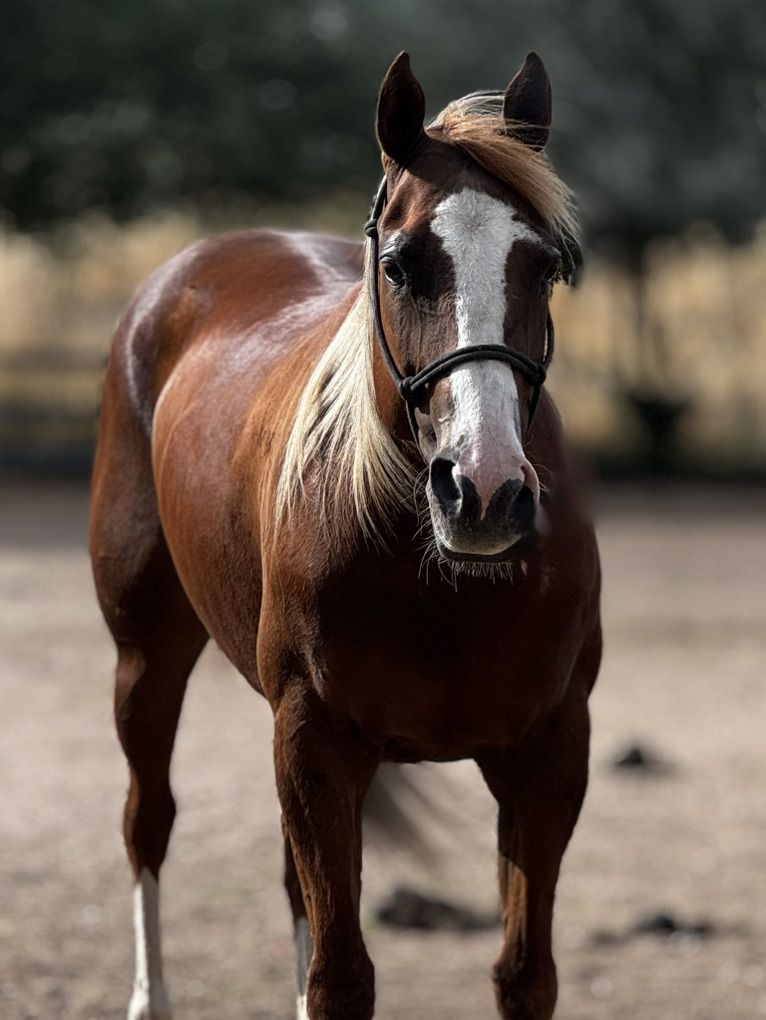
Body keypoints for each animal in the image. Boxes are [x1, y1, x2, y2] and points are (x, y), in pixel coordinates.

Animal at [90, 50, 602, 1020]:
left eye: (545, 265)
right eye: (401, 265)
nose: (484, 493)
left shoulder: (547, 755)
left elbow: (525, 973)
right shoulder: (316, 743)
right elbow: (340, 977)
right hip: (147, 651)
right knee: (146, 823)